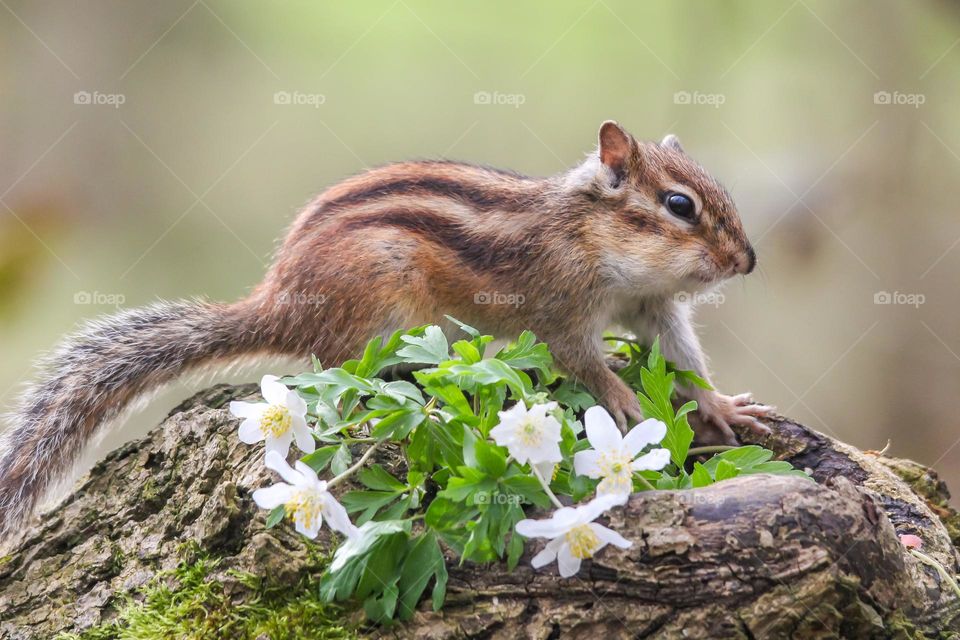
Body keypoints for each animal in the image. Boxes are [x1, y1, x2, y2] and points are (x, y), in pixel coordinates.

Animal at [0, 120, 773, 538]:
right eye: (679, 205)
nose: (748, 261)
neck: (592, 236)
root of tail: (276, 303)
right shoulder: (562, 308)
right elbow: (579, 360)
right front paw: (623, 400)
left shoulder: (654, 308)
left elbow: (683, 358)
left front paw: (722, 406)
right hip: (382, 305)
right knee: (343, 369)